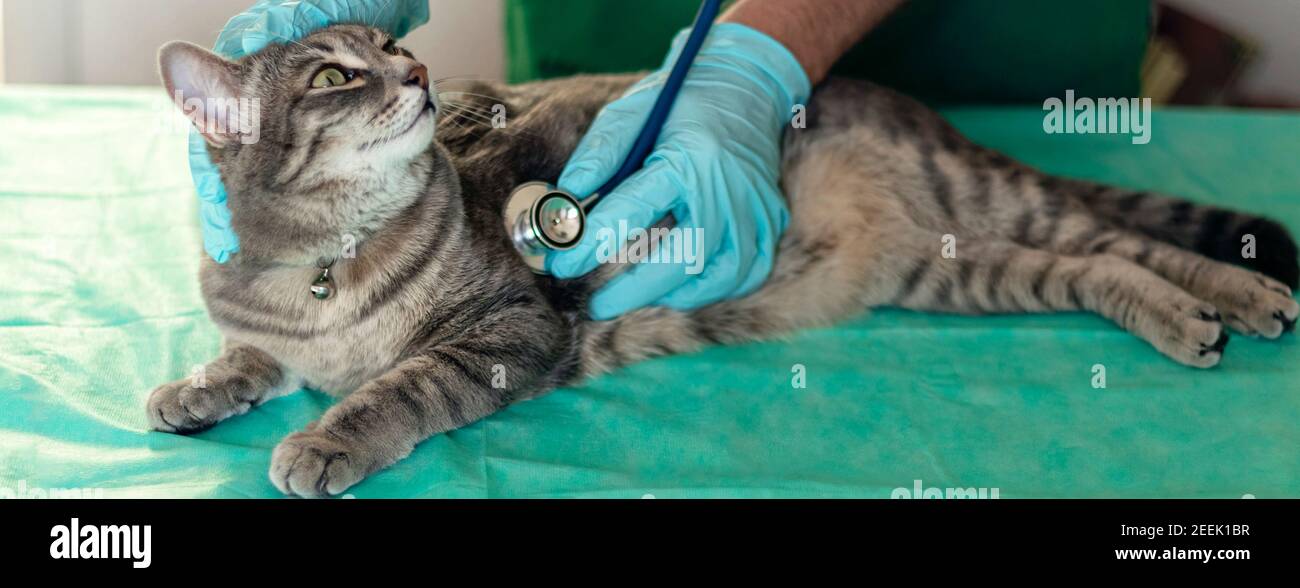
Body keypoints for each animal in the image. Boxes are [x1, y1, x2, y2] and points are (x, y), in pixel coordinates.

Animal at [154, 25, 1300, 499]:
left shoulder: (511, 328)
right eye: (335, 73)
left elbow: (397, 388)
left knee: (1132, 242)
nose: (422, 71)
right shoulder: (270, 328)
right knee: (1103, 271)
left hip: (995, 201)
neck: (320, 271)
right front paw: (195, 390)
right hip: (959, 267)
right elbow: (245, 357)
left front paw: (327, 439)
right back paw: (1188, 317)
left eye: (392, 48)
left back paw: (1241, 293)